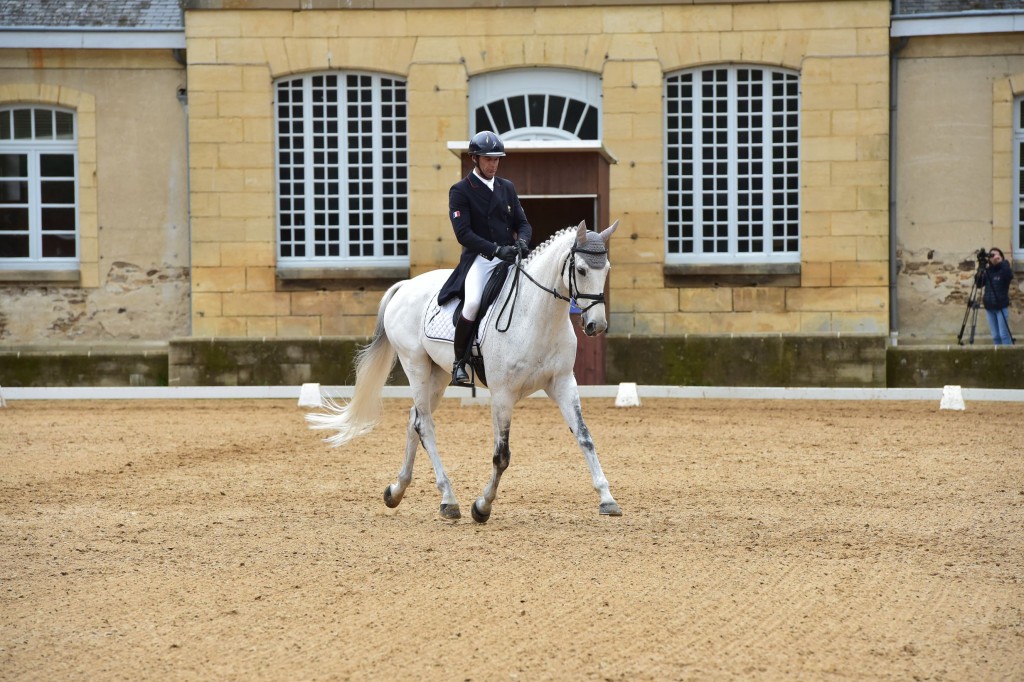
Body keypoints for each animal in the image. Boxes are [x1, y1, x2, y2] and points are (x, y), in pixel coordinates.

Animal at [305, 218, 622, 520]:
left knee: (414, 420)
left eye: (606, 268)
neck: (537, 316)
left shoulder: (563, 382)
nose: (596, 325)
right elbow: (502, 455)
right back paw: (448, 500)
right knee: (425, 425)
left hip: (438, 374)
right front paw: (482, 506)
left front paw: (607, 499)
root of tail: (405, 285)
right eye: (581, 270)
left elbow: (585, 437)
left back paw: (396, 491)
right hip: (415, 364)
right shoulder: (503, 394)